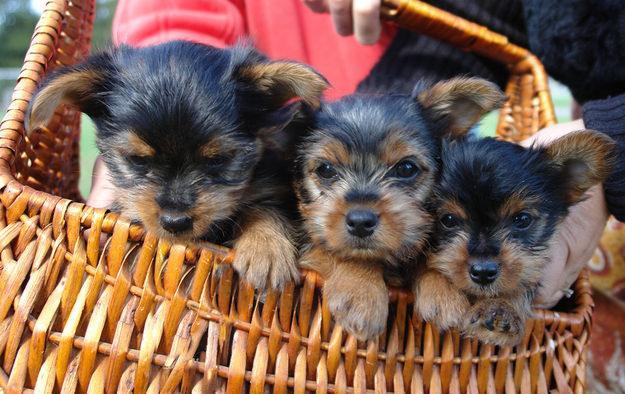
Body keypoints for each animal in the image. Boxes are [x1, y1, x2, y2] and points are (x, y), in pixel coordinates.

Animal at [25, 40, 326, 290]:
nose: (175, 222)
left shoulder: (271, 187)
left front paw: (266, 250)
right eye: (137, 160)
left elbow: (264, 209)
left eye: (218, 160)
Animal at [294, 77, 504, 338]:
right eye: (325, 170)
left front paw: (444, 292)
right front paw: (361, 293)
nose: (360, 221)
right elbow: (345, 253)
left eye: (406, 168)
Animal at [414, 130, 616, 344]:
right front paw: (442, 295)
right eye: (448, 219)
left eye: (522, 219)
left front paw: (500, 309)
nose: (483, 272)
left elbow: (523, 282)